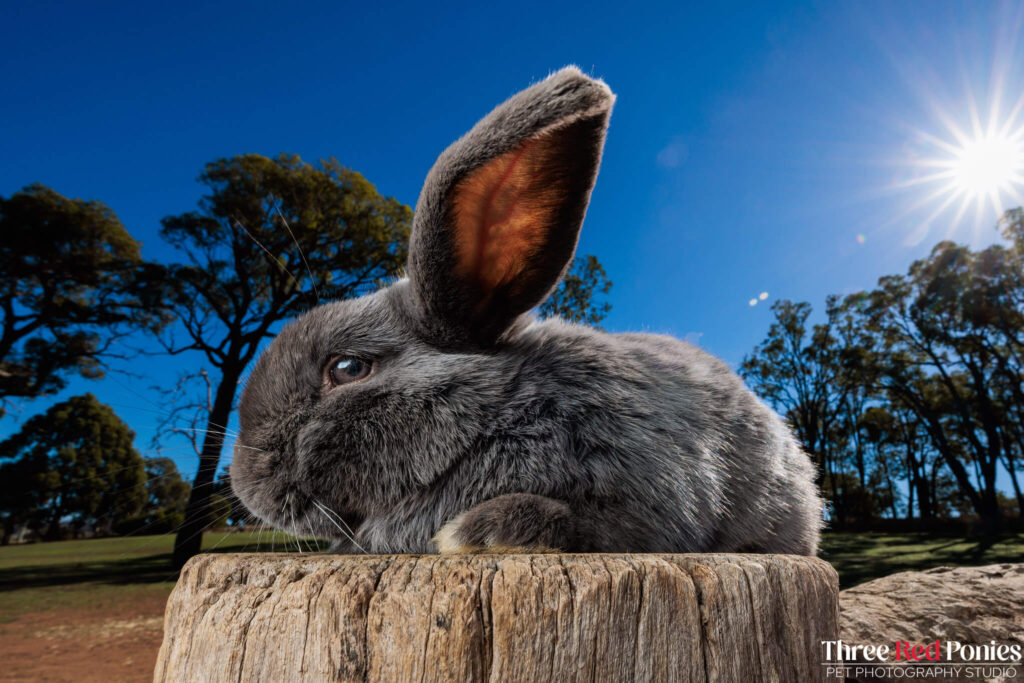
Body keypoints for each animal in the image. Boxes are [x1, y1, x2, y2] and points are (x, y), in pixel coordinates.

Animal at [232, 66, 823, 557]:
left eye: (348, 368)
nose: (244, 479)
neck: (501, 411)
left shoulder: (649, 497)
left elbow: (594, 526)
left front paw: (480, 532)